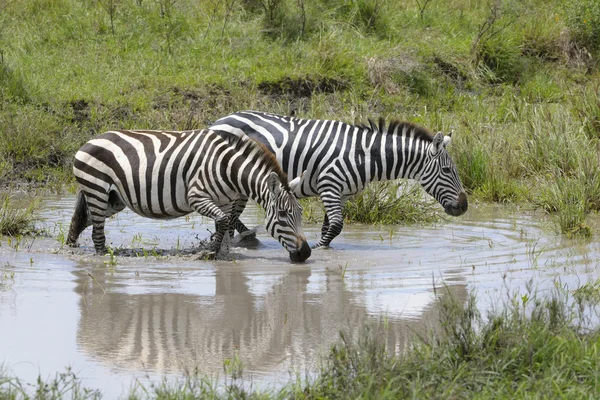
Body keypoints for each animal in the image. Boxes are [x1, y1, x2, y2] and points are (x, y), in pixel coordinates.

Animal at [65, 129, 312, 262]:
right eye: (282, 215)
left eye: (300, 213)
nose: (306, 253)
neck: (227, 168)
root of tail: (90, 140)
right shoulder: (197, 197)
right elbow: (223, 221)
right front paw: (211, 253)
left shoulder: (226, 201)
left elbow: (226, 224)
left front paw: (221, 252)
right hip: (97, 189)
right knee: (97, 233)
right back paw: (102, 257)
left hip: (113, 199)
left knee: (80, 220)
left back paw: (70, 248)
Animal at [211, 109, 468, 247]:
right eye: (448, 171)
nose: (464, 207)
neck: (364, 155)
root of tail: (218, 121)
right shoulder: (329, 186)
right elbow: (336, 226)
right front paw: (317, 248)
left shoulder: (343, 194)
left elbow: (329, 227)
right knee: (230, 218)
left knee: (232, 218)